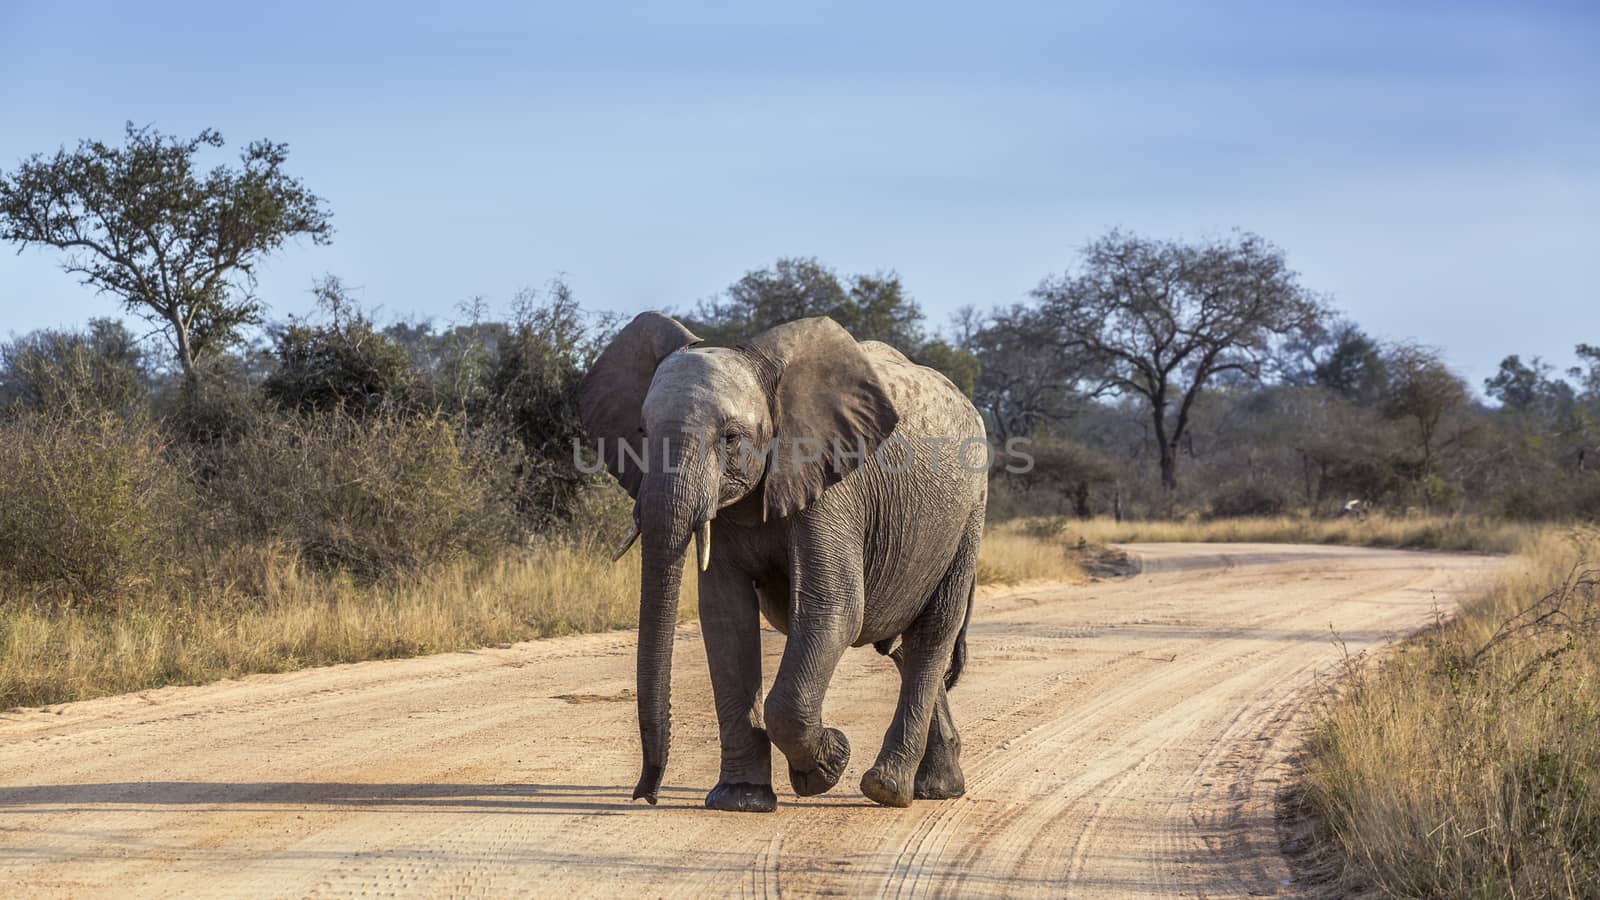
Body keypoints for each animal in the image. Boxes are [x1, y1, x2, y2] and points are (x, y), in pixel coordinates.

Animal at [585, 312, 985, 810]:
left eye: (731, 438)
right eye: (641, 433)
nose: (646, 795)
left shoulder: (832, 485)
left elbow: (832, 609)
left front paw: (826, 766)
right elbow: (725, 618)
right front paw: (740, 800)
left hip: (969, 513)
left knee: (932, 631)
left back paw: (888, 789)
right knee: (901, 645)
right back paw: (937, 788)